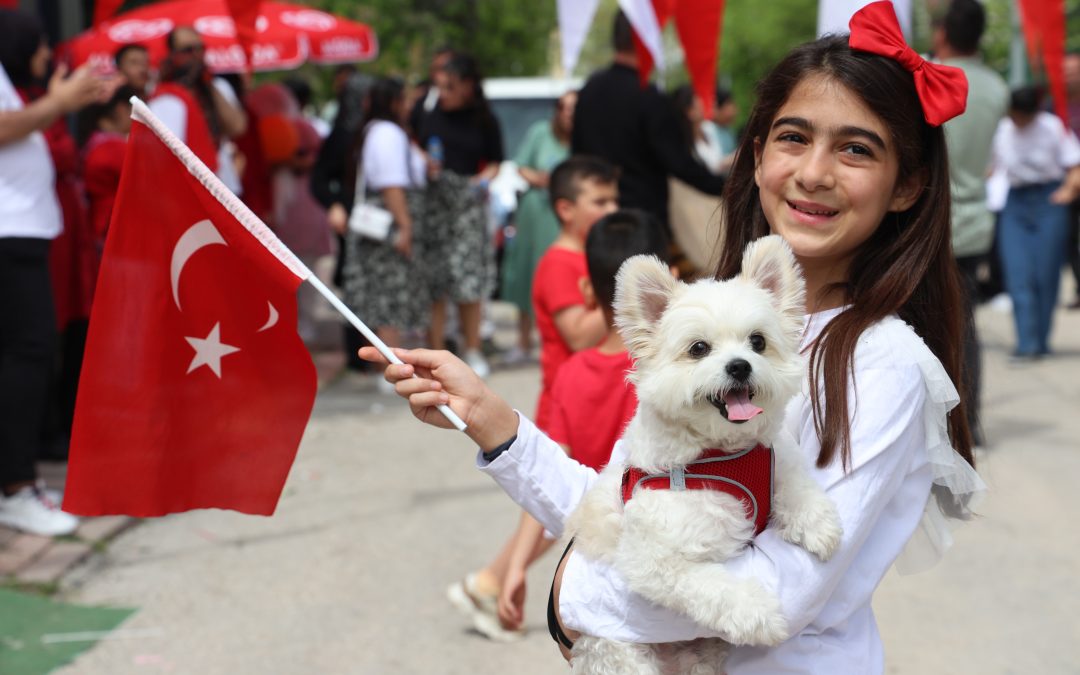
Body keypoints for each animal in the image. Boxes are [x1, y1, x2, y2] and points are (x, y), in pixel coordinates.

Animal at [561, 234, 846, 669]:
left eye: (758, 342)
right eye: (698, 348)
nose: (740, 366)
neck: (720, 454)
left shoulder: (773, 456)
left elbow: (794, 478)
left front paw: (816, 522)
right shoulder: (652, 559)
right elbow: (711, 586)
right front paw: (758, 614)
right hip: (618, 652)